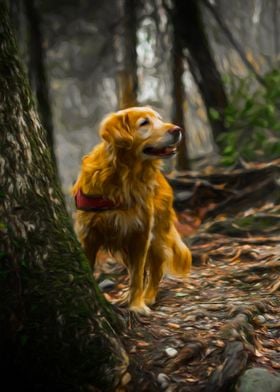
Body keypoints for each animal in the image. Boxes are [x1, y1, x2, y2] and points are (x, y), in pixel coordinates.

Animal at [71, 105, 191, 314]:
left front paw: (137, 306)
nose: (177, 129)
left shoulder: (140, 233)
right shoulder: (88, 234)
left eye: (159, 119)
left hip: (156, 235)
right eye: (144, 123)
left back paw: (148, 297)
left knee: (155, 268)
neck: (125, 176)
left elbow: (137, 276)